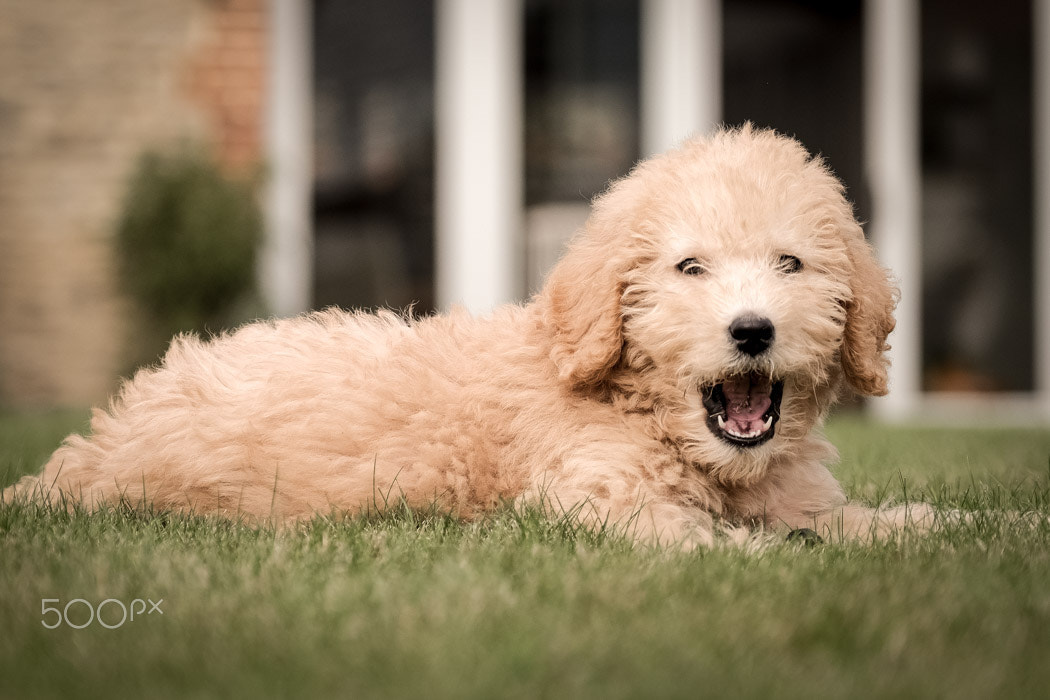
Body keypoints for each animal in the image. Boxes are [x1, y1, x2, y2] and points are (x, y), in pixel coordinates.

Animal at [6, 128, 928, 549]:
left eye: (791, 263)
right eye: (690, 268)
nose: (752, 331)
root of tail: (89, 453)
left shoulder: (787, 492)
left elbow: (843, 521)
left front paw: (928, 524)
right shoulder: (594, 498)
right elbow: (715, 538)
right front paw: (762, 555)